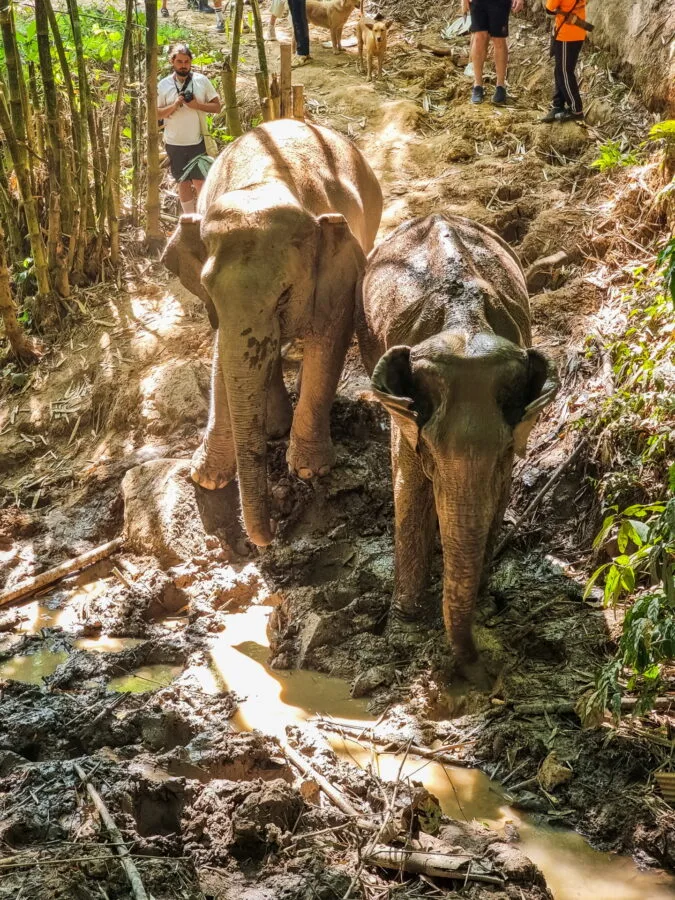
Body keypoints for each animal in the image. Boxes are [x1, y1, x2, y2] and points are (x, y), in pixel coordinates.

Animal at [162, 119, 383, 547]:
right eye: (207, 288)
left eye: (283, 295)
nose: (266, 541)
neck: (267, 182)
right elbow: (224, 355)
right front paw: (207, 478)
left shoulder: (338, 272)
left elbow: (329, 339)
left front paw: (310, 471)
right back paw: (275, 425)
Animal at [356, 213, 559, 683]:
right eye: (430, 452)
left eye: (503, 453)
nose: (480, 670)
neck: (463, 325)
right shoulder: (408, 416)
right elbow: (409, 488)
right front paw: (406, 629)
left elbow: (499, 494)